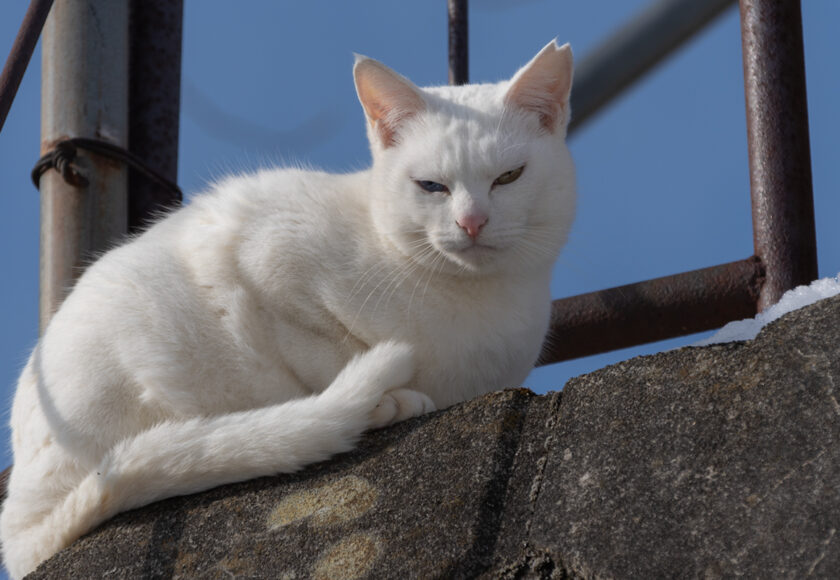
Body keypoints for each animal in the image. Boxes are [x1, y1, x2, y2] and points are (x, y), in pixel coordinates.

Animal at [0, 39, 576, 576]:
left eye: (509, 177)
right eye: (431, 186)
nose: (472, 222)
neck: (478, 306)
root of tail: (18, 525)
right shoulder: (268, 268)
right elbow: (327, 355)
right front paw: (380, 401)